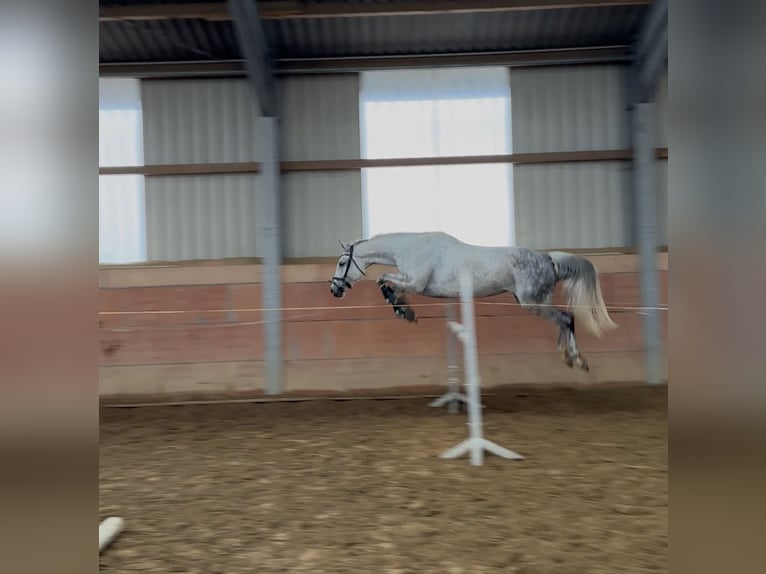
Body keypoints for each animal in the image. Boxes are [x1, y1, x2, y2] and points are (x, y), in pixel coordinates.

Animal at [328, 231, 617, 372]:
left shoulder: (416, 282)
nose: (334, 289)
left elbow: (383, 280)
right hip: (535, 302)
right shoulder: (413, 283)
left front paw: (403, 311)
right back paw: (567, 356)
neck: (412, 248)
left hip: (532, 303)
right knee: (563, 321)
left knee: (567, 318)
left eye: (342, 263)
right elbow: (390, 285)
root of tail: (548, 258)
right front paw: (404, 310)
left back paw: (578, 360)